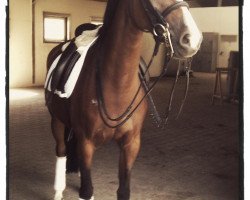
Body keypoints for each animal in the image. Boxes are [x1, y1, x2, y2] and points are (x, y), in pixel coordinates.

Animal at [46, 0, 203, 200]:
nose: (192, 39)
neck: (117, 86)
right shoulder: (86, 142)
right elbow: (87, 190)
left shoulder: (131, 143)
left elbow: (123, 190)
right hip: (57, 121)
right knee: (61, 150)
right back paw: (58, 191)